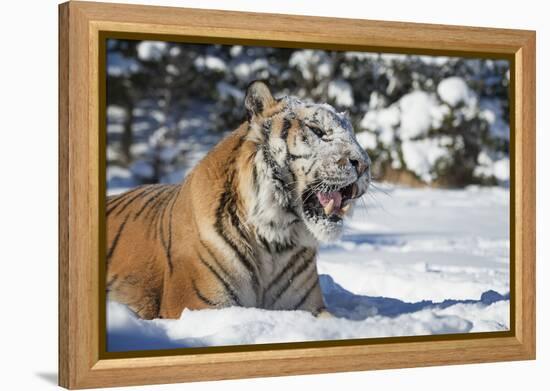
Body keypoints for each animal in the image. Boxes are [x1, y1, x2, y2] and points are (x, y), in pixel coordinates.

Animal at [105, 81, 374, 320]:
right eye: (317, 131)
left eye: (354, 136)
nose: (364, 165)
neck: (276, 242)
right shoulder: (199, 305)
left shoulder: (309, 308)